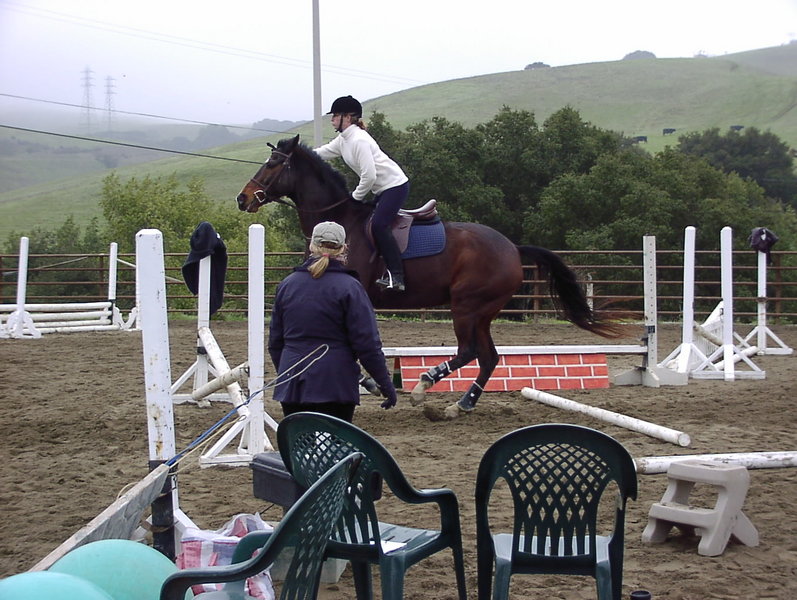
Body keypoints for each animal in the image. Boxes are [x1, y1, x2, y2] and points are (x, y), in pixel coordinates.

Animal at [237, 134, 627, 419]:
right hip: (482, 312)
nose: (243, 199)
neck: (341, 220)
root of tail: (513, 249)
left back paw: (424, 387)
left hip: (466, 305)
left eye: (273, 163)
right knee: (488, 356)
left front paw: (373, 383)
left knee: (469, 350)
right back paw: (462, 404)